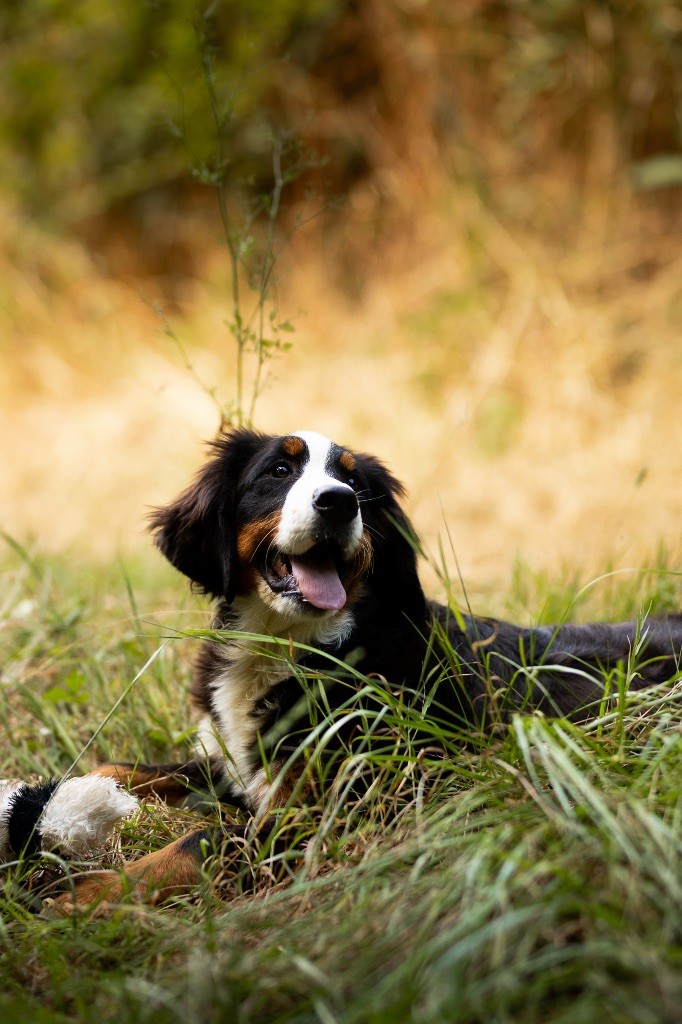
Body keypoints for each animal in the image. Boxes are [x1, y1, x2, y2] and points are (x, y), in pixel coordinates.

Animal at [1, 428, 679, 909]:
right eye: (278, 470)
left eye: (360, 488)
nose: (337, 501)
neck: (286, 646)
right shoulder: (234, 766)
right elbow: (122, 767)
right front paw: (54, 797)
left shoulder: (317, 810)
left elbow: (200, 841)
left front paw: (84, 895)